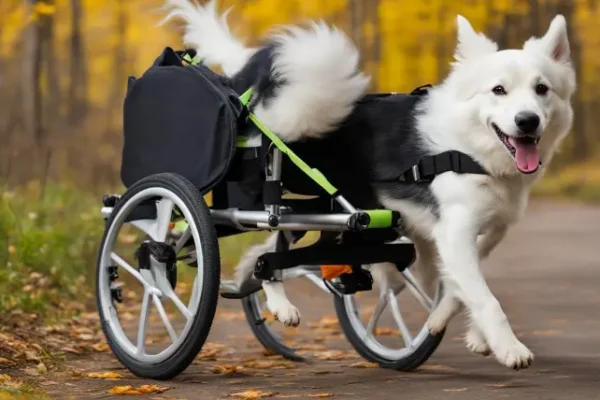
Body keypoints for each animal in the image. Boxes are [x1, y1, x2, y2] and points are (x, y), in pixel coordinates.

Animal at [164, 0, 576, 372]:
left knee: (260, 254)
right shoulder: (455, 231)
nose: (527, 121)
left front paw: (454, 326)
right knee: (269, 251)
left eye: (542, 89)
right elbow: (483, 296)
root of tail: (253, 101)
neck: (469, 148)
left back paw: (274, 298)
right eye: (498, 90)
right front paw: (509, 348)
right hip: (291, 203)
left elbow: (459, 288)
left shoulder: (486, 232)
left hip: (324, 211)